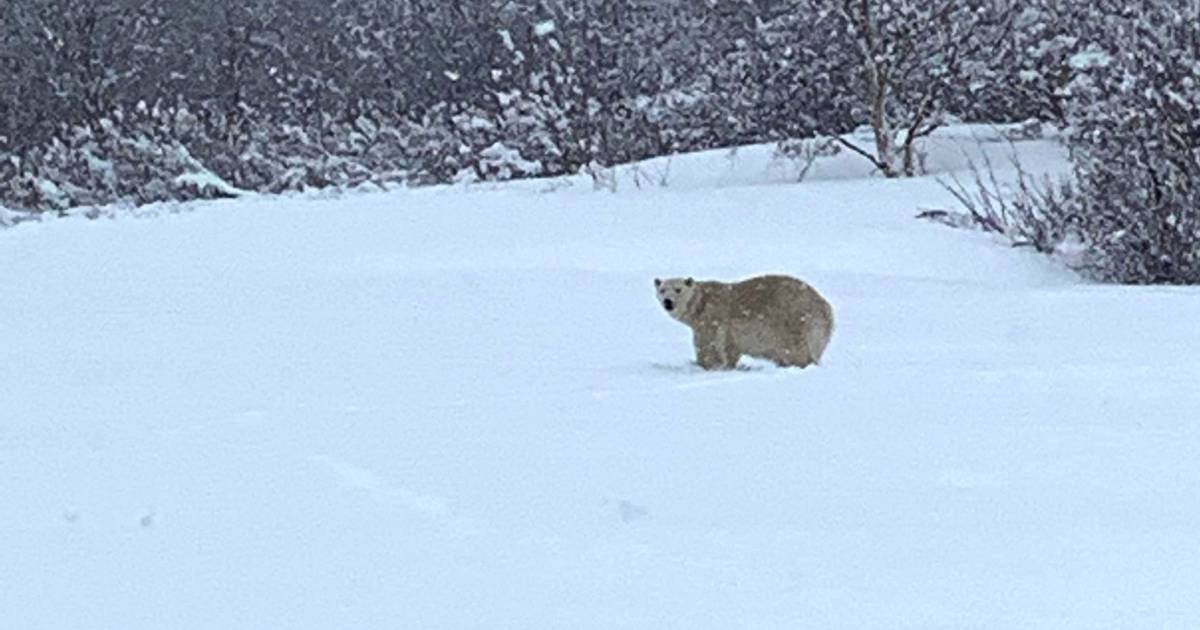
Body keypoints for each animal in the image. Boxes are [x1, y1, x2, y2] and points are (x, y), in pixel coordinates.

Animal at [657, 273, 835, 369]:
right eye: (662, 290)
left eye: (678, 289)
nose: (668, 302)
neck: (701, 303)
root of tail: (826, 308)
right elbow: (730, 350)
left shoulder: (711, 318)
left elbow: (709, 345)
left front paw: (705, 365)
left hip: (794, 321)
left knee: (795, 350)